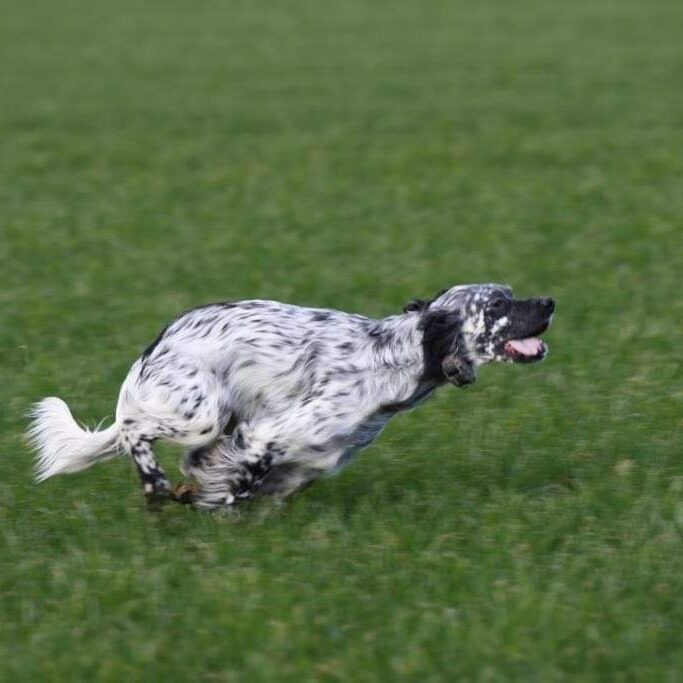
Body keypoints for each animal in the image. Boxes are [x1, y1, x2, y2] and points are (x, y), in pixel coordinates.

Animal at [29, 282, 556, 508]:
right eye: (498, 304)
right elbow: (237, 486)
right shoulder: (269, 435)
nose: (551, 302)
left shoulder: (305, 460)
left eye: (510, 292)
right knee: (134, 430)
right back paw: (155, 486)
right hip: (199, 413)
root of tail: (157, 343)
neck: (394, 357)